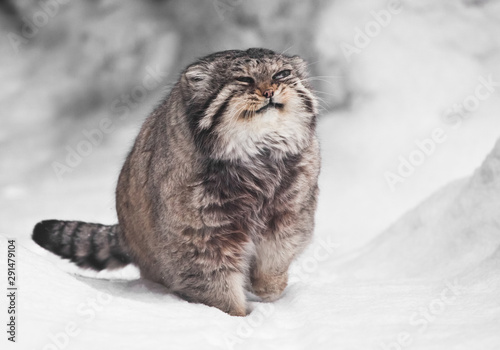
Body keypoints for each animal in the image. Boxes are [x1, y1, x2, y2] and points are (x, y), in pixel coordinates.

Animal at [33, 47, 320, 316]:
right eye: (244, 78)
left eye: (281, 74)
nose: (270, 91)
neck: (258, 158)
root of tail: (125, 231)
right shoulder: (199, 237)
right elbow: (215, 284)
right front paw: (234, 316)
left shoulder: (290, 213)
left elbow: (277, 255)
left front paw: (268, 286)